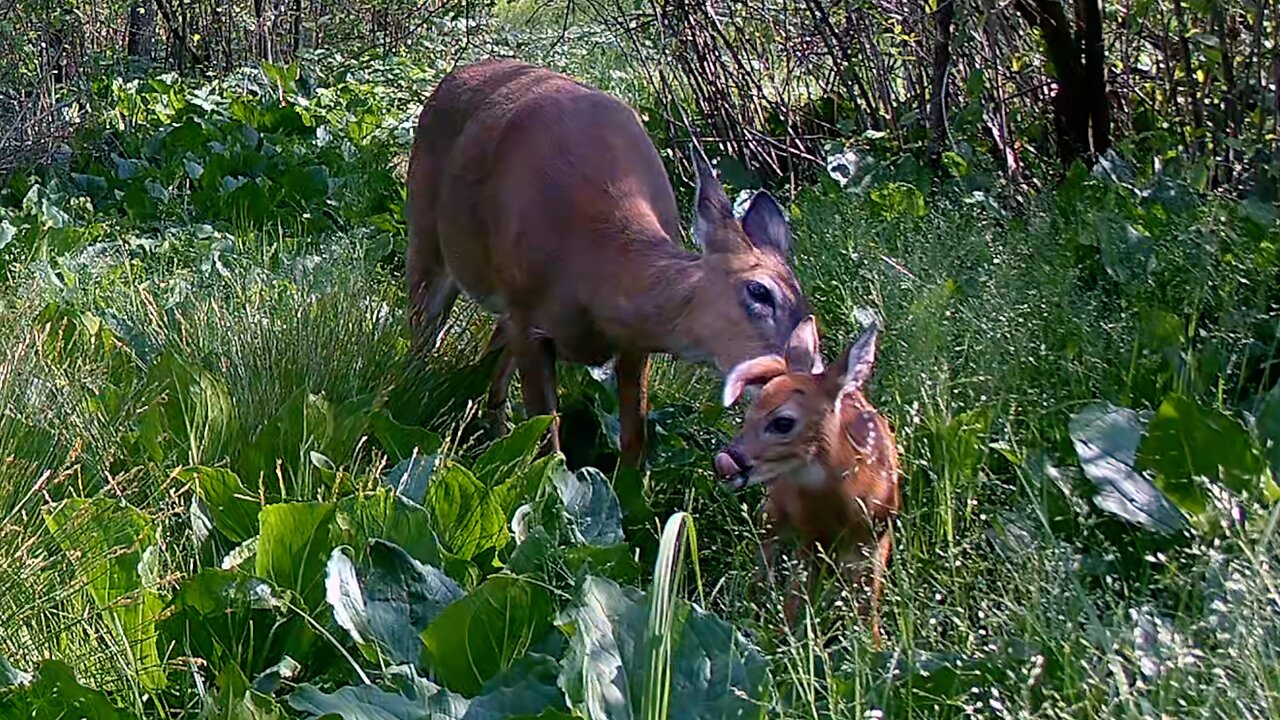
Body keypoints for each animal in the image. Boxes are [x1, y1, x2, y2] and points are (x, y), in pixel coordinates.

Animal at [407, 60, 808, 466]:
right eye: (759, 291)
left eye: (809, 315)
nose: (800, 380)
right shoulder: (528, 319)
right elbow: (547, 443)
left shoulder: (633, 345)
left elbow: (634, 439)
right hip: (426, 232)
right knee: (421, 334)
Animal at [711, 316, 901, 640]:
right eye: (748, 413)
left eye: (783, 422)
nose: (726, 462)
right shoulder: (810, 539)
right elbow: (794, 600)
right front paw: (782, 640)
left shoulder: (877, 539)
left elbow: (869, 606)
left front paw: (874, 644)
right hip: (774, 508)